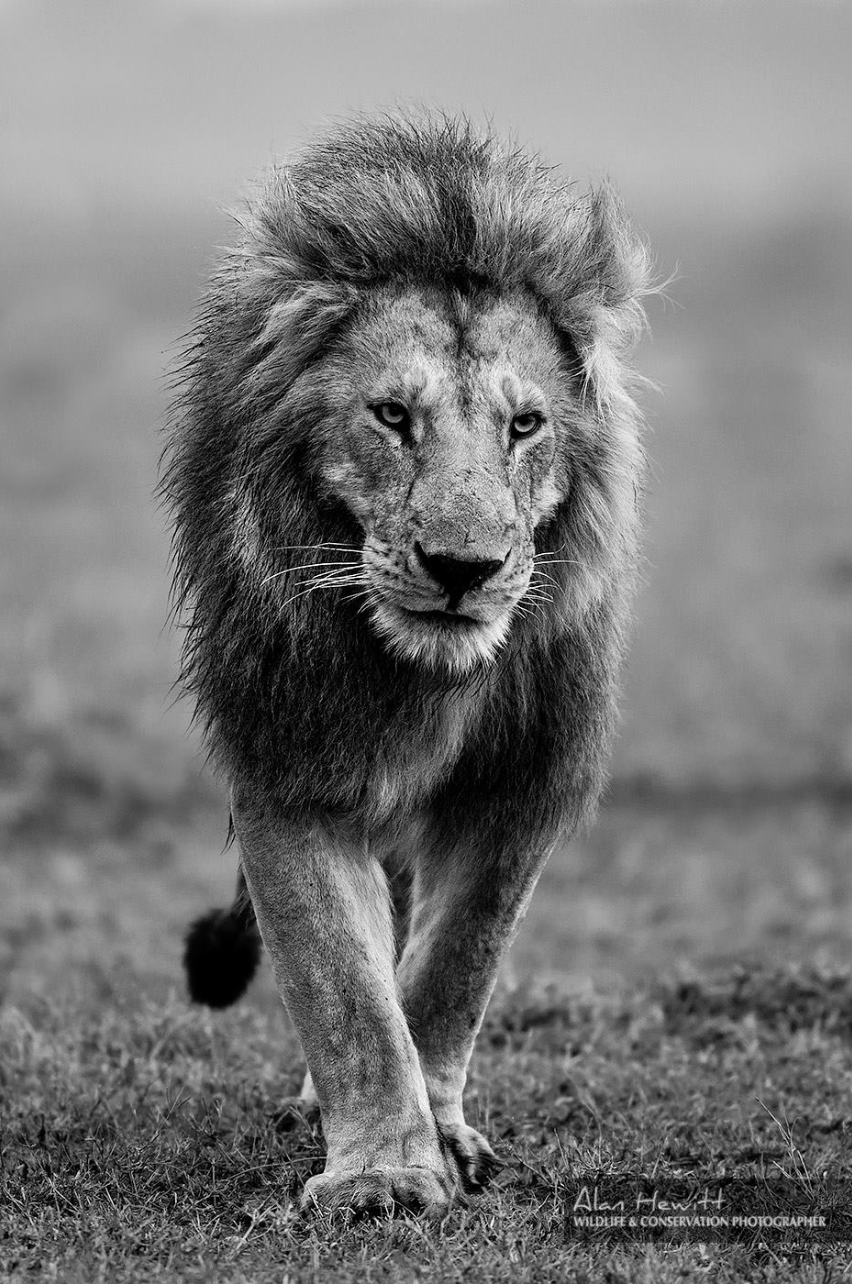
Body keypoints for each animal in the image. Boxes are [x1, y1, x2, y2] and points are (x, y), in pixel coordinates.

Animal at [159, 115, 651, 1217]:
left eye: (525, 424)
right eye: (392, 416)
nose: (462, 568)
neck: (426, 676)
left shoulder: (522, 779)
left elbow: (455, 966)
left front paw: (441, 1134)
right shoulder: (292, 764)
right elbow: (344, 985)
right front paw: (382, 1172)